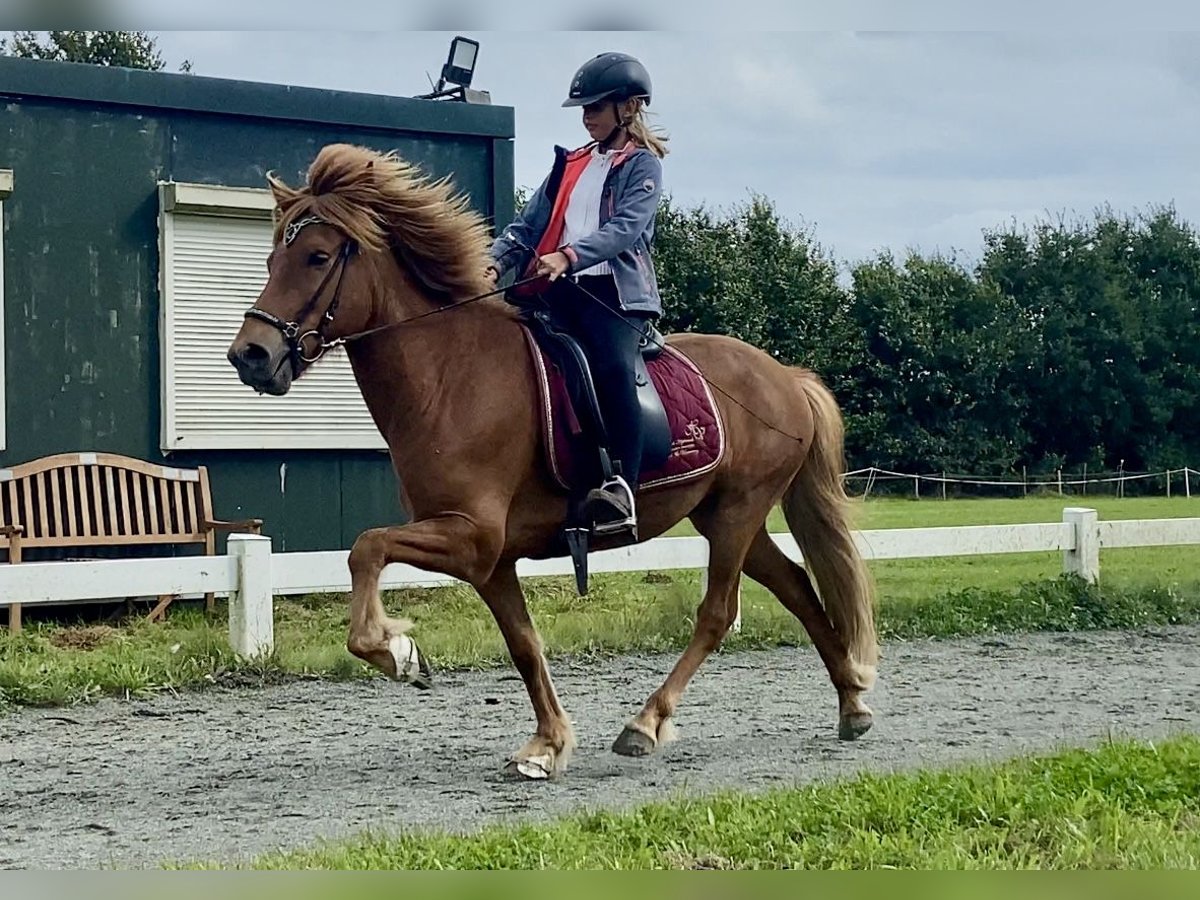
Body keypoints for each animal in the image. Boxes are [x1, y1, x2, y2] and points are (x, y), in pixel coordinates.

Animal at [226, 144, 883, 777]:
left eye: (316, 257)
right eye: (270, 262)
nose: (250, 356)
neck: (449, 376)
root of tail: (786, 377)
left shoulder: (472, 537)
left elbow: (366, 548)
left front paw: (397, 652)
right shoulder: (490, 560)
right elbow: (523, 644)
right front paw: (546, 745)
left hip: (738, 513)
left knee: (718, 613)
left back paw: (645, 724)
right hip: (725, 515)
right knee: (794, 584)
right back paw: (852, 704)